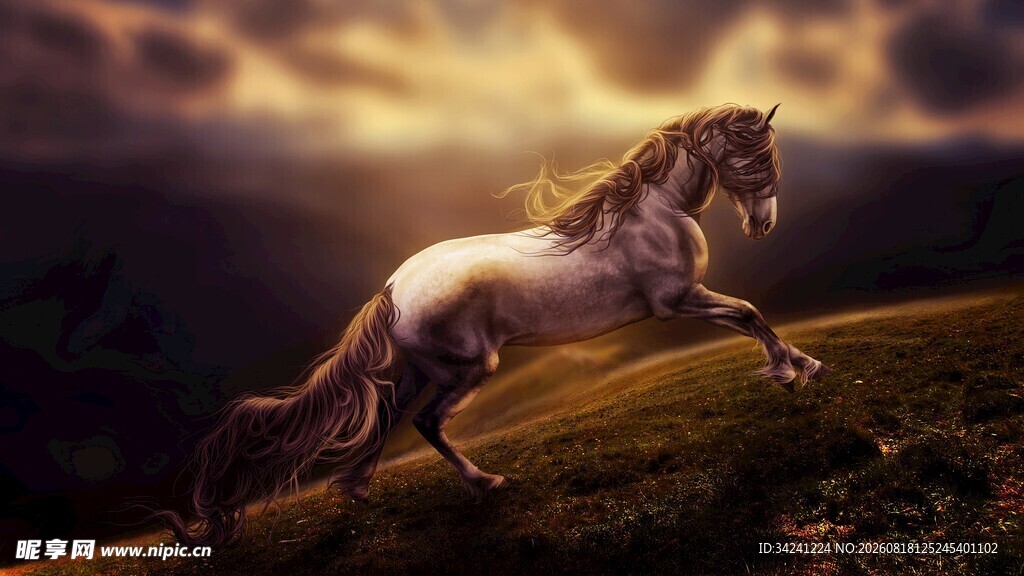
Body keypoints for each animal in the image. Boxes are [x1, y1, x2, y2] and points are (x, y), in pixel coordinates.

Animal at [163, 103, 830, 546]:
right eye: (752, 157)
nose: (763, 223)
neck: (653, 212)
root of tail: (393, 290)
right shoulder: (679, 300)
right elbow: (749, 313)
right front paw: (792, 370)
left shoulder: (684, 300)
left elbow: (748, 315)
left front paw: (801, 365)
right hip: (466, 370)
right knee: (426, 423)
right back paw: (484, 483)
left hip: (419, 370)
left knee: (386, 415)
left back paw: (356, 489)